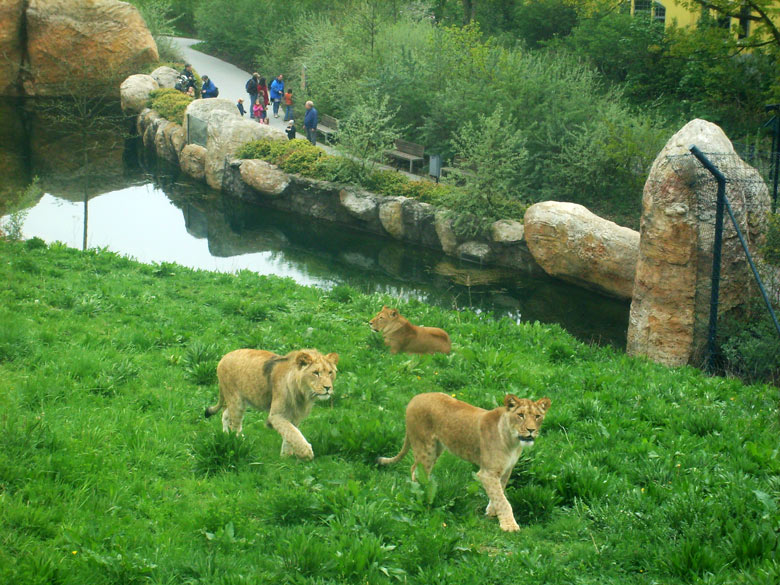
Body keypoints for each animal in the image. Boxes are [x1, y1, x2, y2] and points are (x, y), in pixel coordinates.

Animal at [207, 350, 338, 458]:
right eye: (316, 373)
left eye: (330, 372)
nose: (328, 387)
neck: (303, 393)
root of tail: (223, 357)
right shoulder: (276, 415)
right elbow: (293, 432)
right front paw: (306, 452)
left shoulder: (295, 415)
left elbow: (290, 433)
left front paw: (285, 456)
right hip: (236, 401)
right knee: (235, 425)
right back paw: (240, 443)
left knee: (225, 415)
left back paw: (225, 436)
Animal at [376, 392, 548, 528]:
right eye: (521, 415)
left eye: (537, 416)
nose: (531, 430)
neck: (513, 441)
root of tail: (415, 397)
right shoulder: (488, 473)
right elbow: (503, 500)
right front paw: (509, 526)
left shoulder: (506, 470)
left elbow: (499, 492)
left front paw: (491, 511)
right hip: (426, 448)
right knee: (415, 470)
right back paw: (422, 492)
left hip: (436, 448)